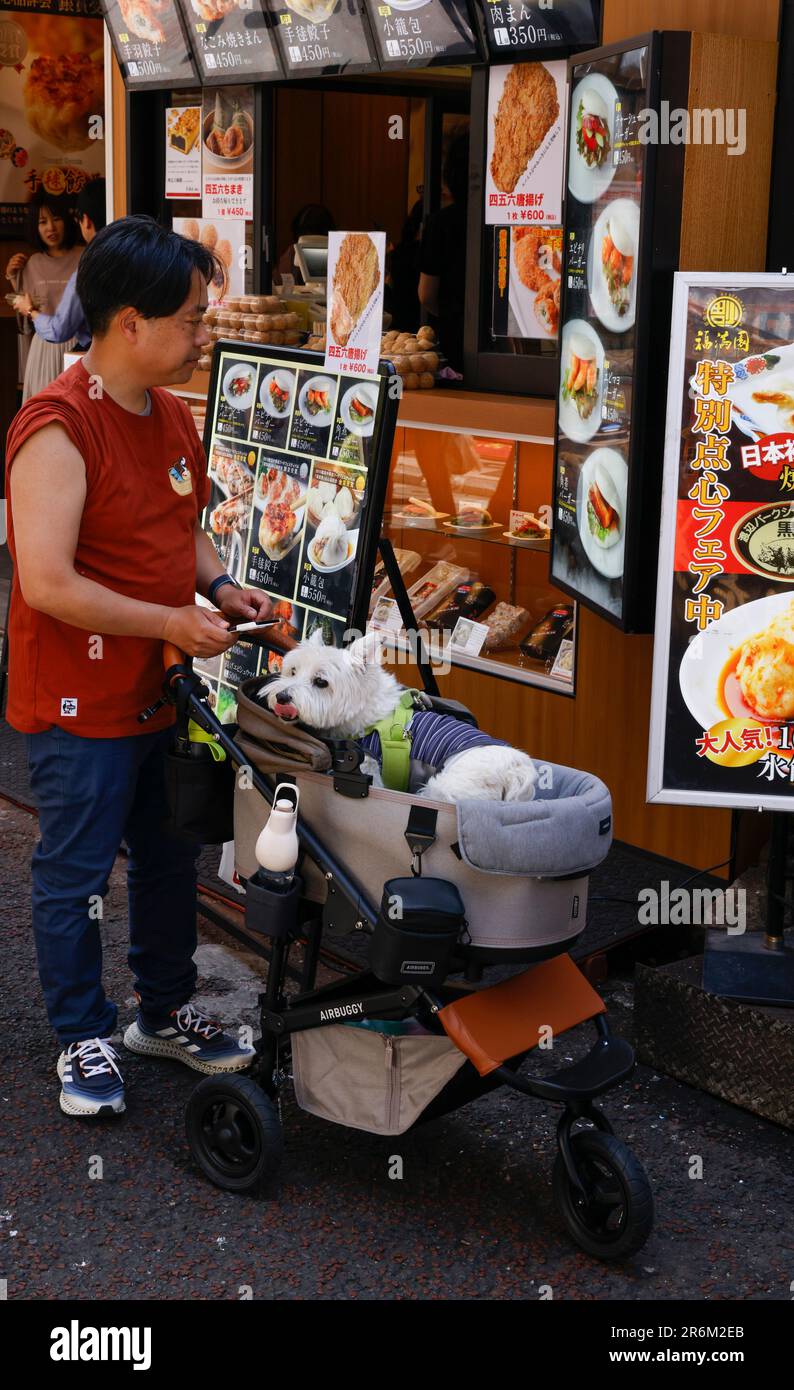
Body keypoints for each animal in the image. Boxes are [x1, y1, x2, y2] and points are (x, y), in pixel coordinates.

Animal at [261, 631, 539, 806]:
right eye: (292, 671)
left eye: (321, 682)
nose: (282, 697)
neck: (367, 717)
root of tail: (516, 772)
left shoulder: (371, 769)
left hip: (445, 791)